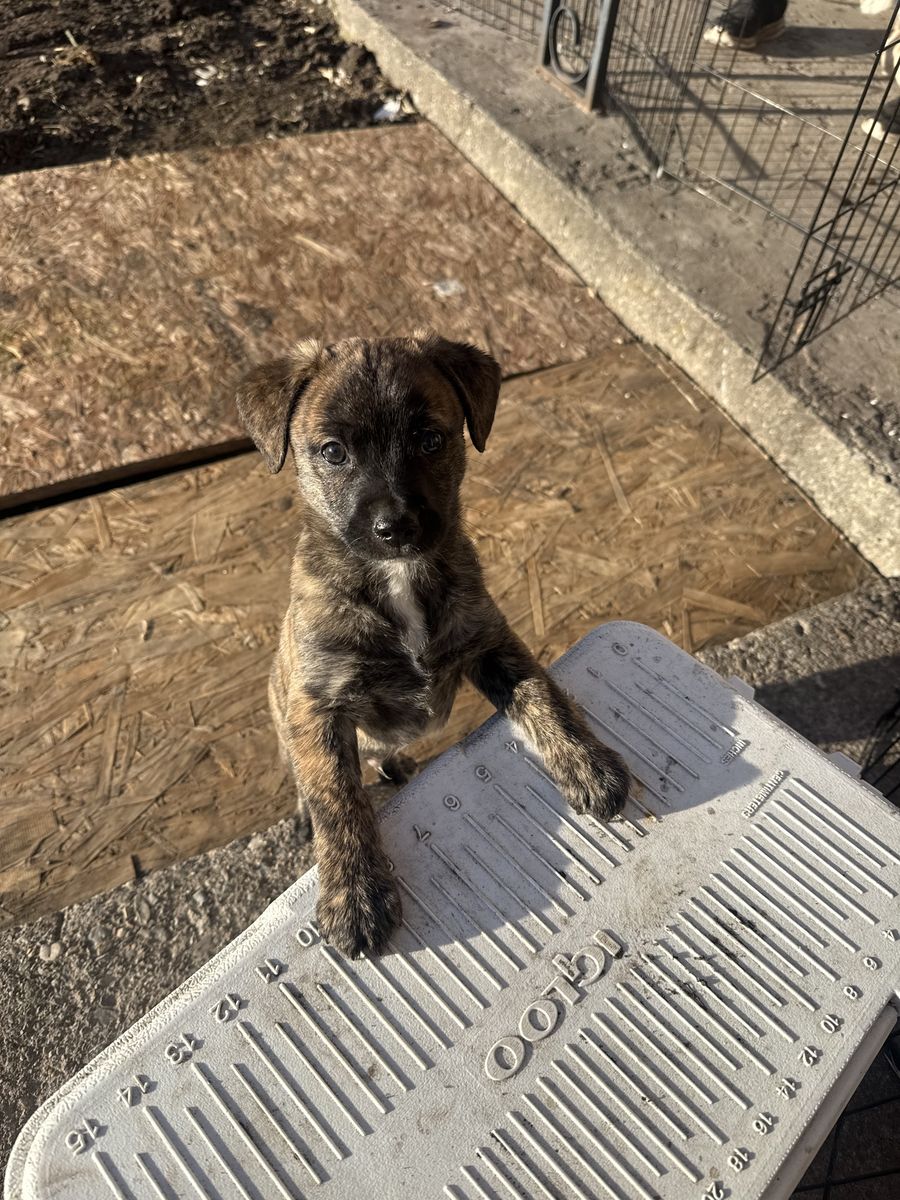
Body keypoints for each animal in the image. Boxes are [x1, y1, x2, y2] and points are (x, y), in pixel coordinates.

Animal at [236, 332, 631, 958]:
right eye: (333, 452)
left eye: (429, 439)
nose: (395, 528)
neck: (396, 579)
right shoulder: (318, 705)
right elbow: (335, 796)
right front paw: (356, 894)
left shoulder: (491, 643)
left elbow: (546, 697)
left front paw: (589, 767)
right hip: (283, 716)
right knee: (306, 779)